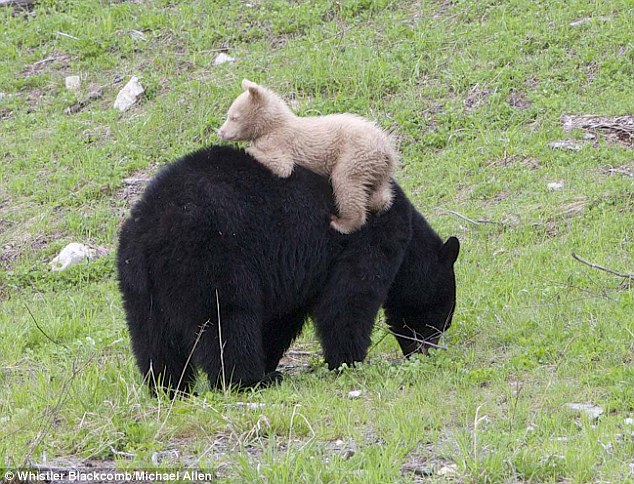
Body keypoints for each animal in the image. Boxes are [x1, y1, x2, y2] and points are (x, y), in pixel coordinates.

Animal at [116, 146, 456, 396]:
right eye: (444, 317)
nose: (428, 351)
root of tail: (153, 229)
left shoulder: (294, 275)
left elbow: (281, 319)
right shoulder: (367, 240)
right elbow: (348, 300)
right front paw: (349, 362)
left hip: (138, 282)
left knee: (153, 337)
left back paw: (168, 388)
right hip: (211, 259)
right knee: (227, 321)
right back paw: (249, 382)